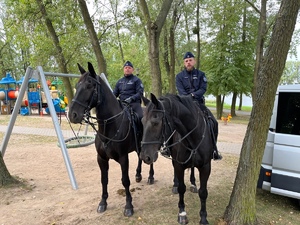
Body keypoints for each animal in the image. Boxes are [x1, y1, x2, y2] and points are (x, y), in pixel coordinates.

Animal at [68, 62, 155, 217]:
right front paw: (103, 202)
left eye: (89, 85)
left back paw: (150, 176)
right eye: (77, 85)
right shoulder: (101, 158)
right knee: (140, 157)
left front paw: (128, 206)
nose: (72, 114)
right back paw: (138, 174)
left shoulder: (123, 158)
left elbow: (125, 181)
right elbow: (104, 180)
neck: (110, 126)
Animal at [139, 92, 214, 223]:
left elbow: (203, 192)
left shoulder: (205, 167)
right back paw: (175, 184)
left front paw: (204, 217)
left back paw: (193, 184)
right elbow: (181, 188)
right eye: (142, 121)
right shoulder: (179, 165)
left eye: (155, 122)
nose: (144, 156)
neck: (193, 137)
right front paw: (182, 213)